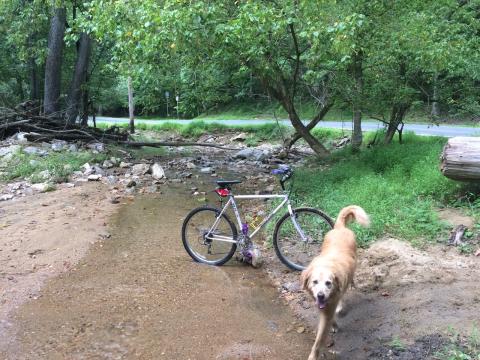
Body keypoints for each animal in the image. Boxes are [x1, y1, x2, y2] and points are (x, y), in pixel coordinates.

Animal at [302, 205, 370, 360]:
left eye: (328, 283)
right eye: (315, 282)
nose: (320, 295)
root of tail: (339, 227)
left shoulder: (329, 306)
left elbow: (319, 339)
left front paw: (313, 356)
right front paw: (334, 325)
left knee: (349, 283)